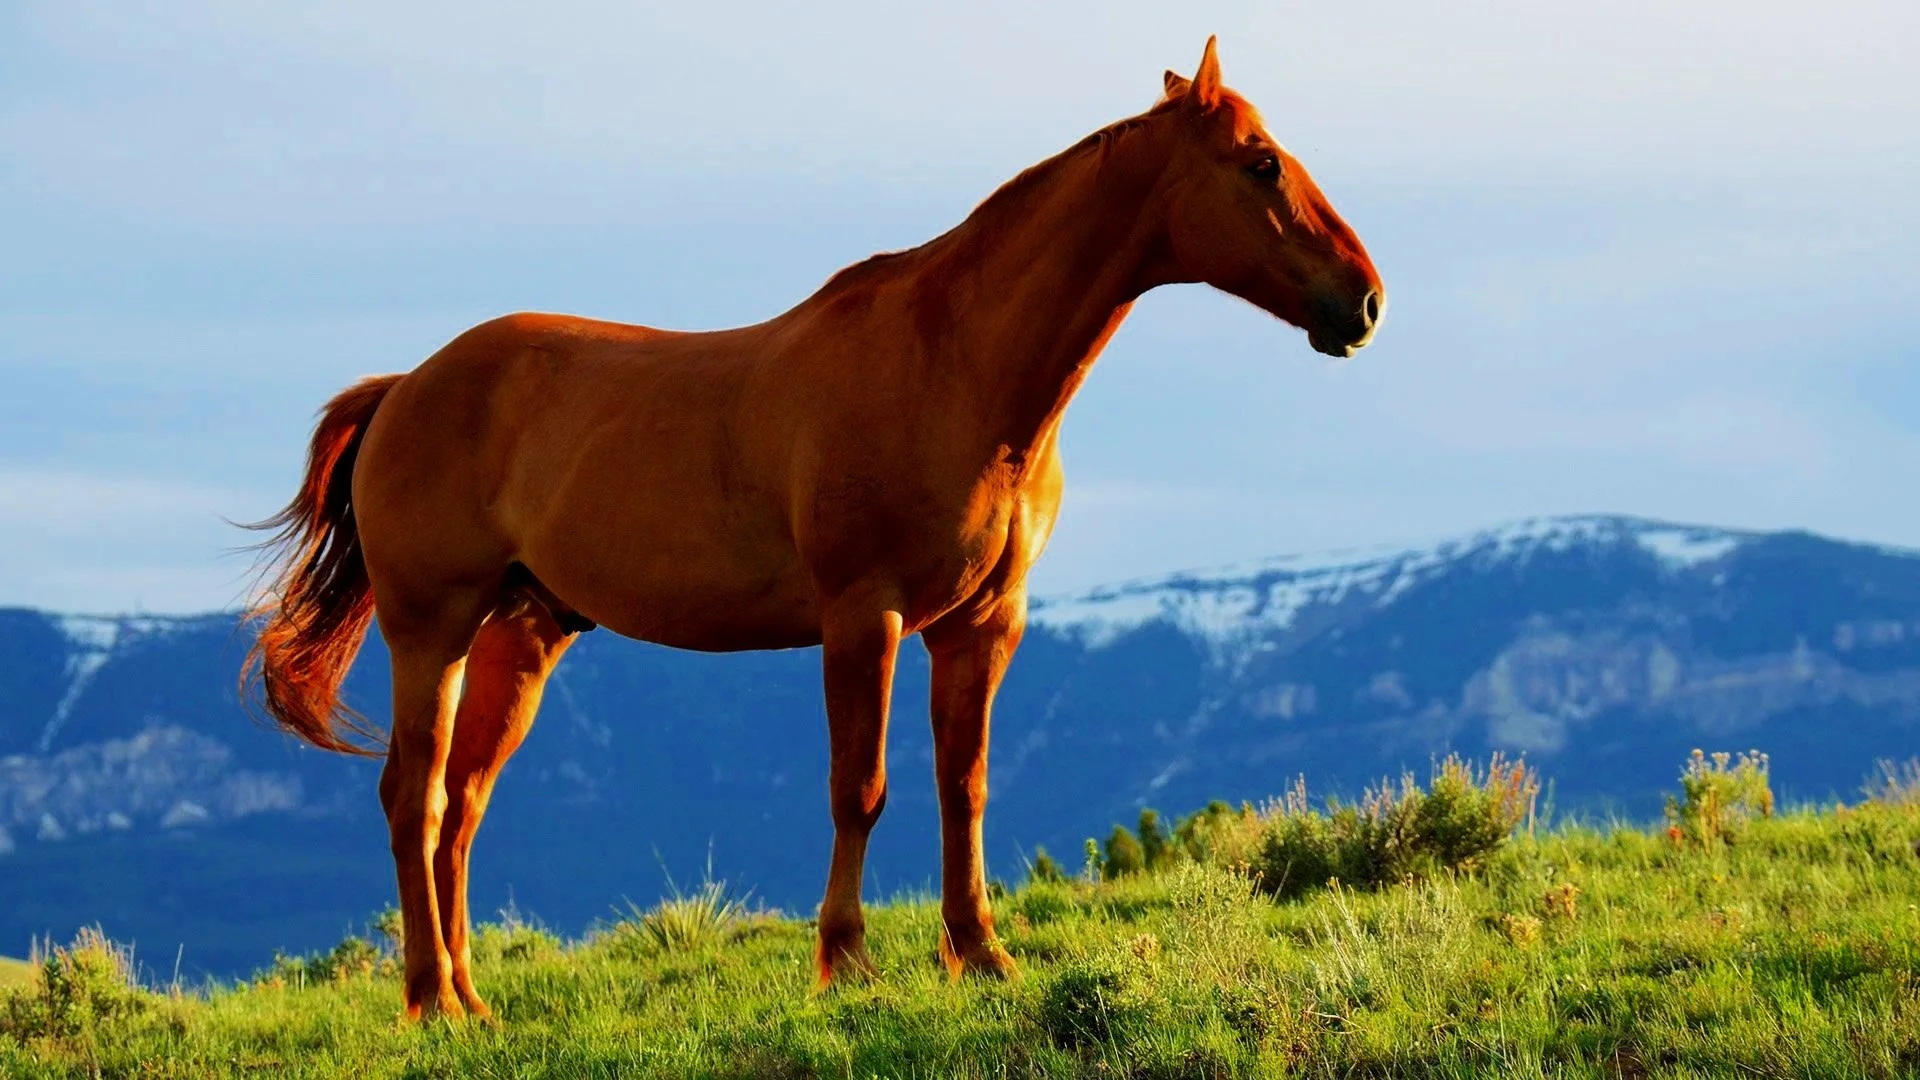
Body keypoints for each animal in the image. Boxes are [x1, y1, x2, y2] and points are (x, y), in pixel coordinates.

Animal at [244, 36, 1382, 1021]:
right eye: (1261, 163)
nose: (1364, 302)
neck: (955, 368)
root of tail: (405, 387)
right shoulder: (861, 616)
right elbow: (860, 789)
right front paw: (847, 962)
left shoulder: (982, 625)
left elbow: (963, 786)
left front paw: (981, 954)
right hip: (429, 628)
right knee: (415, 798)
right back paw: (431, 1001)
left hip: (523, 634)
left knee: (463, 805)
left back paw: (472, 1000)